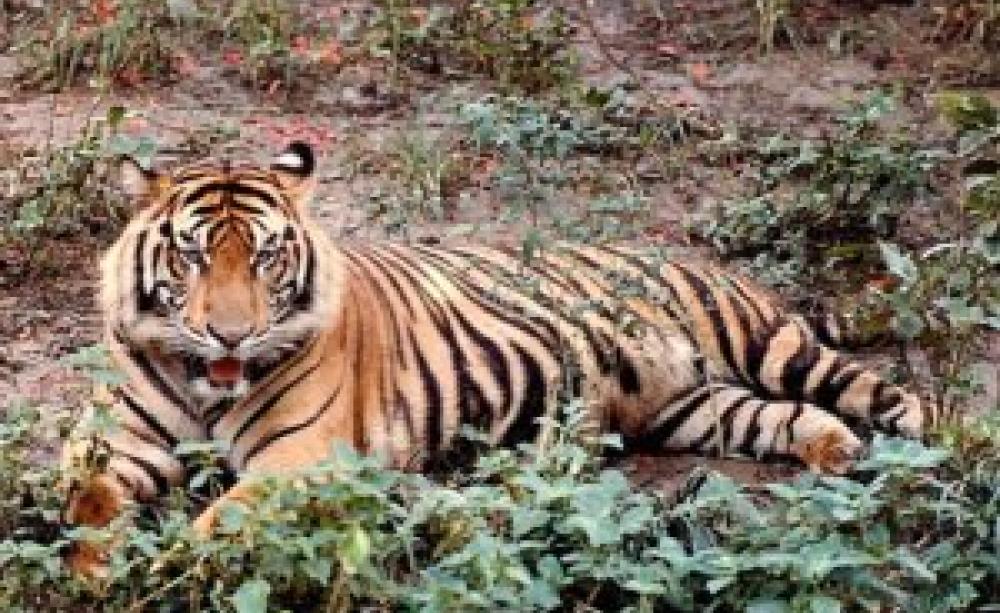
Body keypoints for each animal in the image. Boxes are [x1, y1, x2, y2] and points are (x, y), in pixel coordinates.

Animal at [63, 141, 934, 576]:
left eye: (266, 257)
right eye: (193, 256)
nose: (231, 336)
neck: (202, 382)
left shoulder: (300, 456)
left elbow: (216, 522)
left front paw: (168, 566)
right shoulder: (111, 440)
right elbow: (86, 504)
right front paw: (96, 564)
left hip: (771, 344)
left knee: (892, 398)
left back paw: (922, 453)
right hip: (694, 410)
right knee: (781, 416)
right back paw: (834, 450)